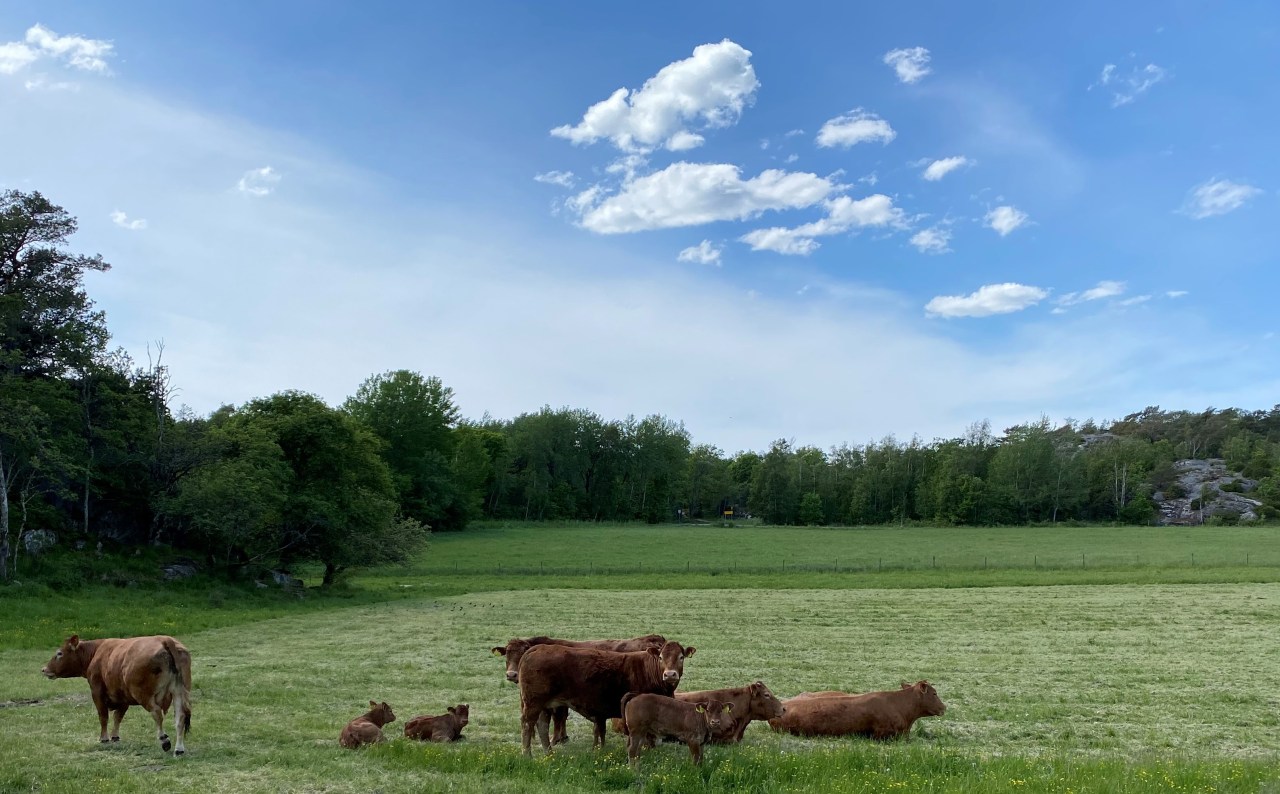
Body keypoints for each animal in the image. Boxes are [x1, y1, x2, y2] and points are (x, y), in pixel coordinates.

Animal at [41, 634, 192, 756]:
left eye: (59, 653)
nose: (44, 669)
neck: (96, 651)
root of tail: (165, 640)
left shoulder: (97, 692)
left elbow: (103, 717)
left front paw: (104, 738)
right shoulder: (123, 697)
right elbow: (118, 717)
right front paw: (115, 736)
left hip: (142, 694)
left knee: (157, 713)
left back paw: (164, 740)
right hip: (178, 691)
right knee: (180, 718)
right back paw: (179, 749)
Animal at [491, 633, 664, 745]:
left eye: (521, 653)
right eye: (507, 654)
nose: (512, 674)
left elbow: (559, 717)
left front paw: (557, 738)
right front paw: (562, 737)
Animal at [517, 639, 695, 755]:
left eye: (681, 657)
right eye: (661, 657)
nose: (670, 674)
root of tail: (536, 649)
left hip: (546, 705)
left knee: (542, 726)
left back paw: (548, 753)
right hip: (533, 703)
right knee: (527, 725)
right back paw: (527, 755)